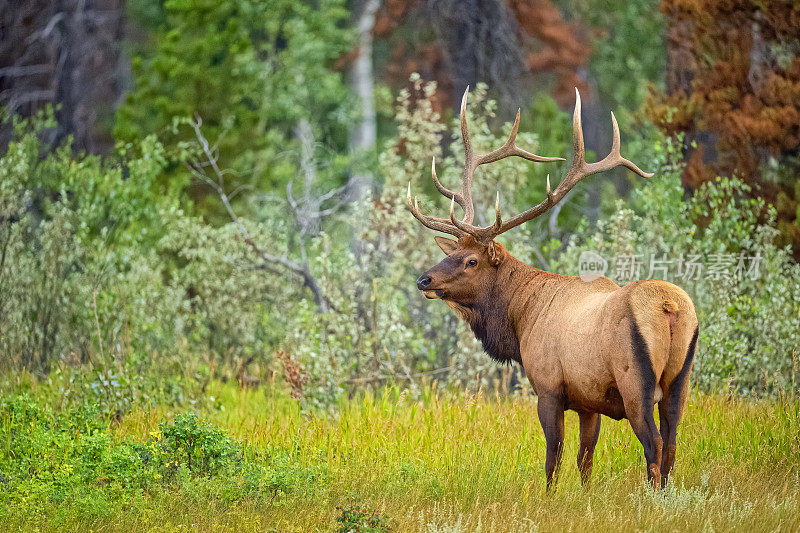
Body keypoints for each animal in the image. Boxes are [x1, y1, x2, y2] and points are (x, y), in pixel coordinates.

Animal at [410, 87, 696, 490]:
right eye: (453, 253)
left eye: (472, 261)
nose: (424, 280)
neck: (520, 319)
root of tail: (669, 306)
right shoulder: (589, 400)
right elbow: (585, 458)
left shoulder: (547, 386)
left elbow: (553, 456)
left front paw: (548, 496)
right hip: (680, 382)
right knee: (671, 443)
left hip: (635, 382)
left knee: (654, 443)